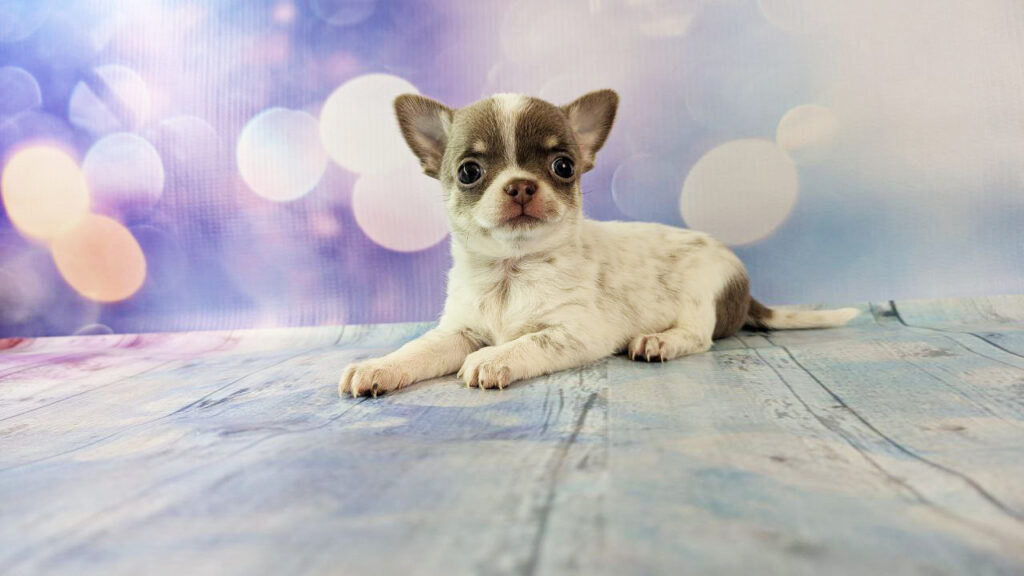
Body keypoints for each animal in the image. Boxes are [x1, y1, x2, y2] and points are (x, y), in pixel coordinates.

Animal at [339, 90, 858, 397]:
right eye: (469, 172)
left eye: (564, 166)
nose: (521, 186)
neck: (512, 271)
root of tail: (747, 292)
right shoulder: (458, 331)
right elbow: (417, 350)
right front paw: (379, 366)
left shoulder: (576, 332)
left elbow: (531, 340)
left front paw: (495, 357)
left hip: (701, 288)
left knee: (700, 337)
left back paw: (660, 340)